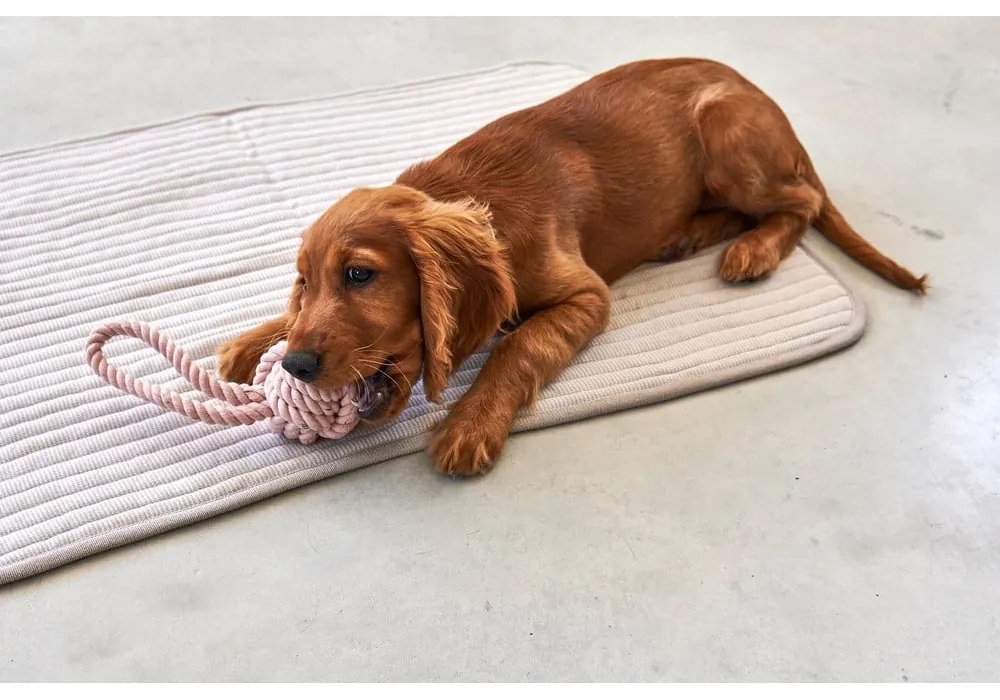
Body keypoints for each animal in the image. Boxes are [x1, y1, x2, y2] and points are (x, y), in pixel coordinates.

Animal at [217, 58, 926, 476]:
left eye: (360, 275)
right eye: (304, 281)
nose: (296, 367)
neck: (477, 196)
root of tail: (765, 97)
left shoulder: (587, 296)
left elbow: (519, 344)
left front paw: (470, 425)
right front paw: (250, 343)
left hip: (727, 139)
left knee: (799, 202)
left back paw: (750, 250)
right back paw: (689, 234)